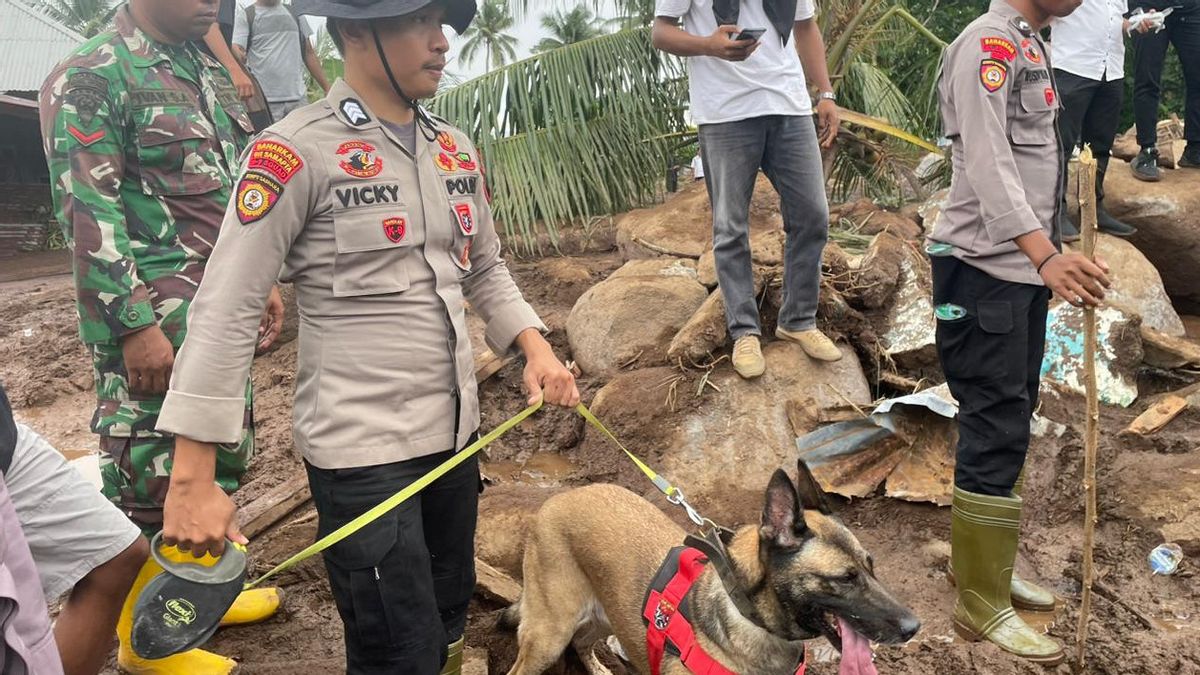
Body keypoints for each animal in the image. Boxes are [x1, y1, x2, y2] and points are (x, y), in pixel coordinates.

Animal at [501, 456, 912, 672]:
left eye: (871, 567)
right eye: (845, 578)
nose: (914, 627)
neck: (752, 619)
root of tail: (559, 498)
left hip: (606, 613)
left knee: (582, 642)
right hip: (548, 635)